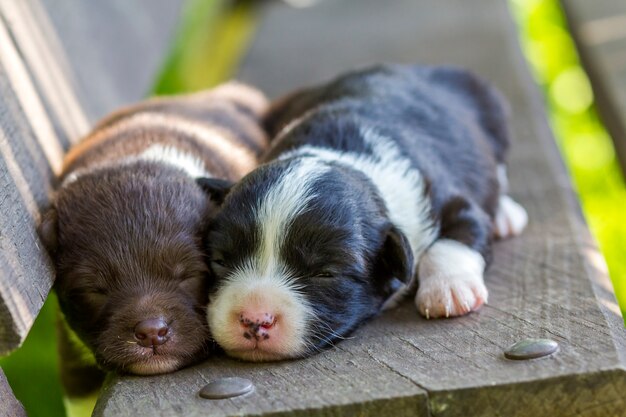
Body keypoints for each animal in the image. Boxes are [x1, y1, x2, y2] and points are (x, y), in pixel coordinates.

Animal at [199, 63, 528, 360]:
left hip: (492, 106)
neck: (337, 154)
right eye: (220, 260)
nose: (255, 321)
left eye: (325, 273)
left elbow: (458, 235)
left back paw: (505, 215)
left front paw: (448, 290)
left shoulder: (447, 199)